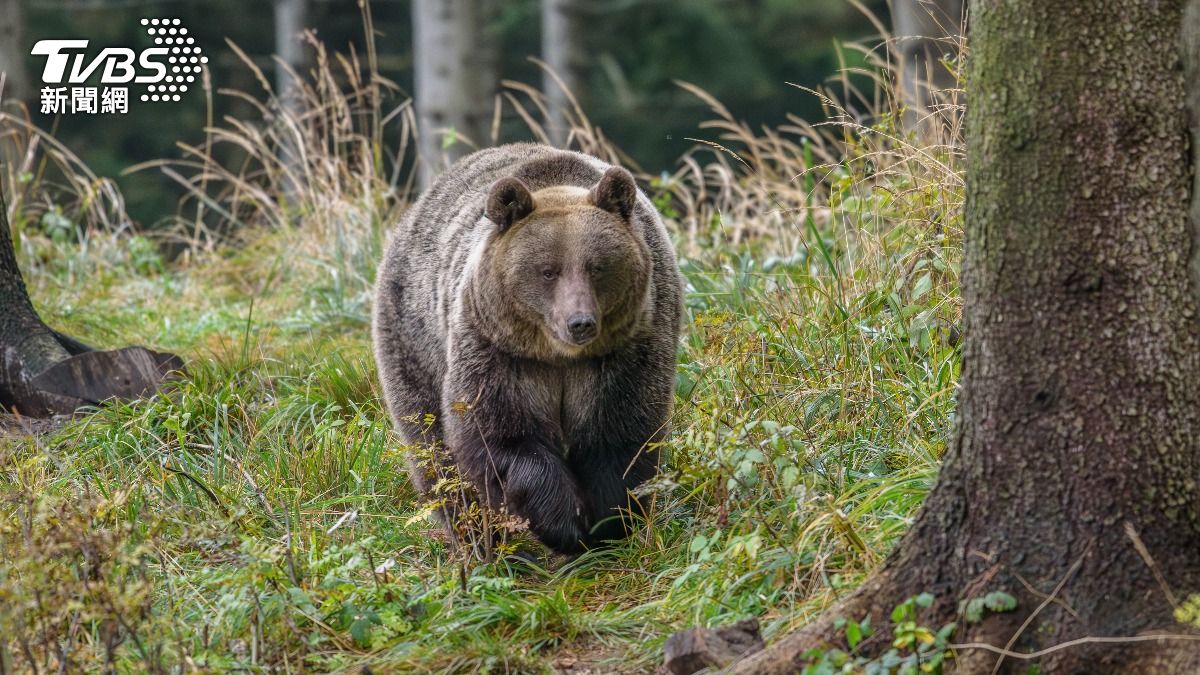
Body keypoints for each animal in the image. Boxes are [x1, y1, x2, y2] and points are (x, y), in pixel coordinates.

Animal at [372, 143, 682, 554]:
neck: (558, 356)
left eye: (597, 267)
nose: (580, 323)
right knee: (433, 450)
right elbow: (502, 434)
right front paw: (565, 521)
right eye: (548, 270)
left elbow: (619, 431)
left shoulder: (624, 349)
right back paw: (479, 542)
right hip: (414, 338)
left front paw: (607, 522)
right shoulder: (501, 352)